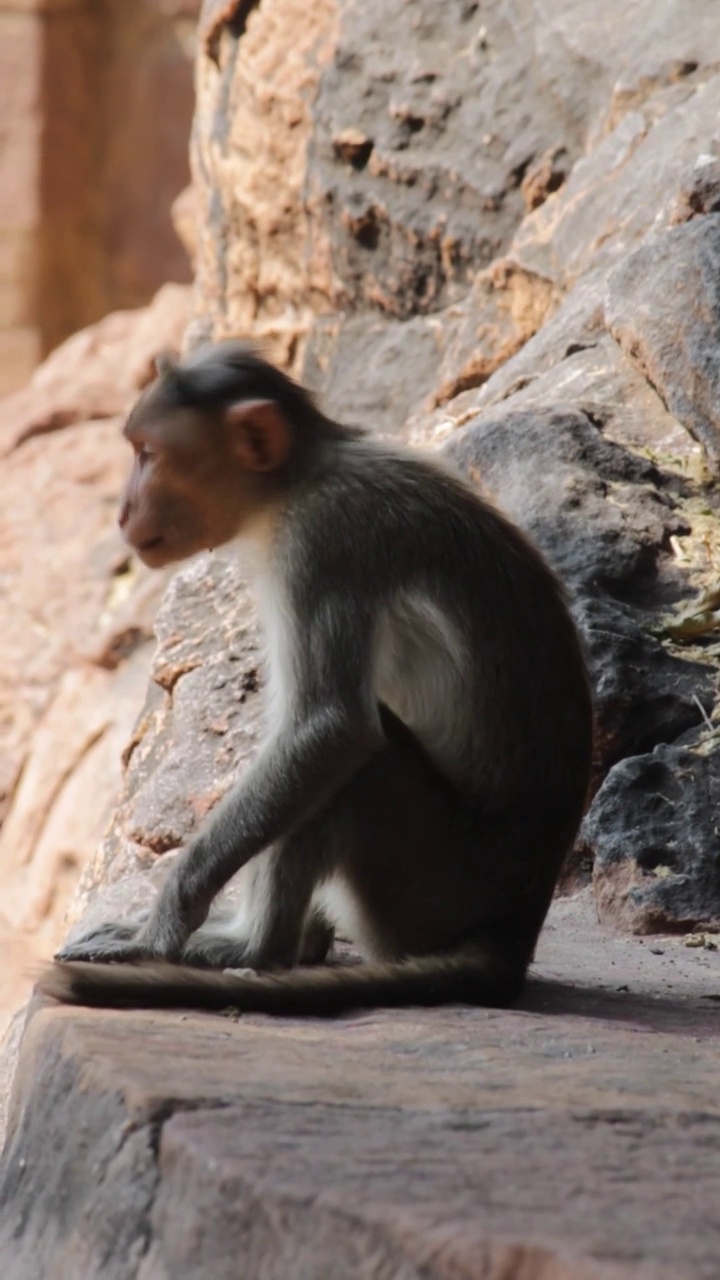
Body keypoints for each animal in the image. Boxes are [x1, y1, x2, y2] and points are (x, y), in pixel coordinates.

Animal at [36, 340, 591, 1018]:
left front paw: (158, 931)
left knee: (358, 765)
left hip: (429, 891)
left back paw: (258, 948)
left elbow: (330, 730)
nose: (122, 511)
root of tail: (513, 932)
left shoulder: (322, 543)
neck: (295, 481)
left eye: (148, 454)